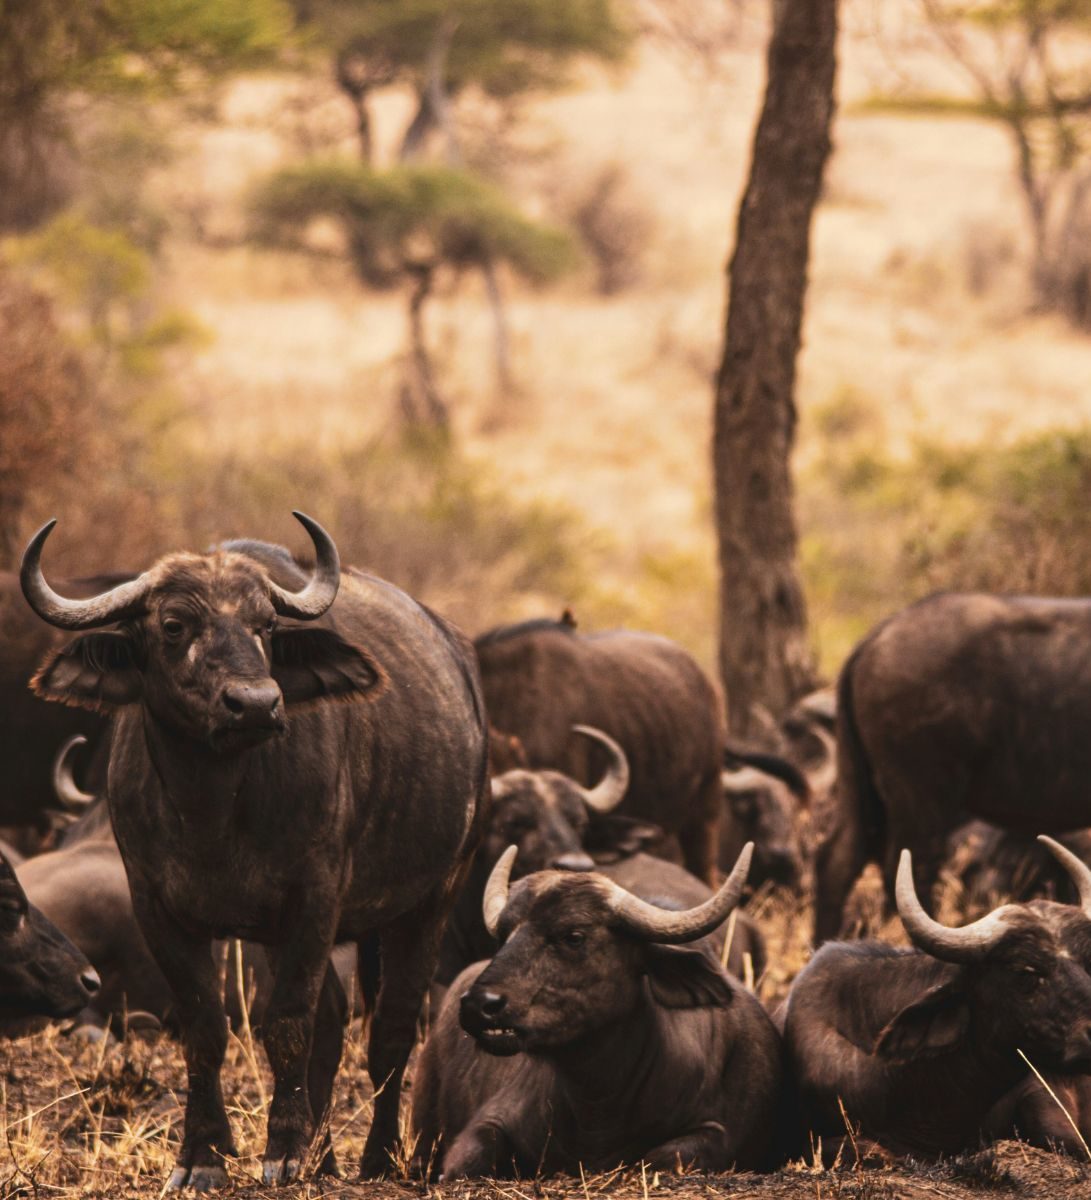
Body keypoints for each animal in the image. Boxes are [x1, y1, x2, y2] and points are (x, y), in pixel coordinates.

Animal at [21, 514, 488, 1189]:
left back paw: (377, 1158)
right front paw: (203, 1155)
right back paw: (324, 1157)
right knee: (335, 1023)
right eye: (173, 625)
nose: (258, 704)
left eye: (265, 626)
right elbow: (206, 1027)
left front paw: (284, 1151)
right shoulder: (157, 907)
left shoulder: (313, 900)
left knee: (392, 1029)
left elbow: (287, 1025)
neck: (213, 808)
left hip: (431, 899)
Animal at [412, 843, 782, 1177]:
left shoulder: (716, 1133)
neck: (599, 1104)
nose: (479, 1005)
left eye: (574, 936)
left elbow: (662, 1156)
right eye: (505, 934)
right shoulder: (490, 1121)